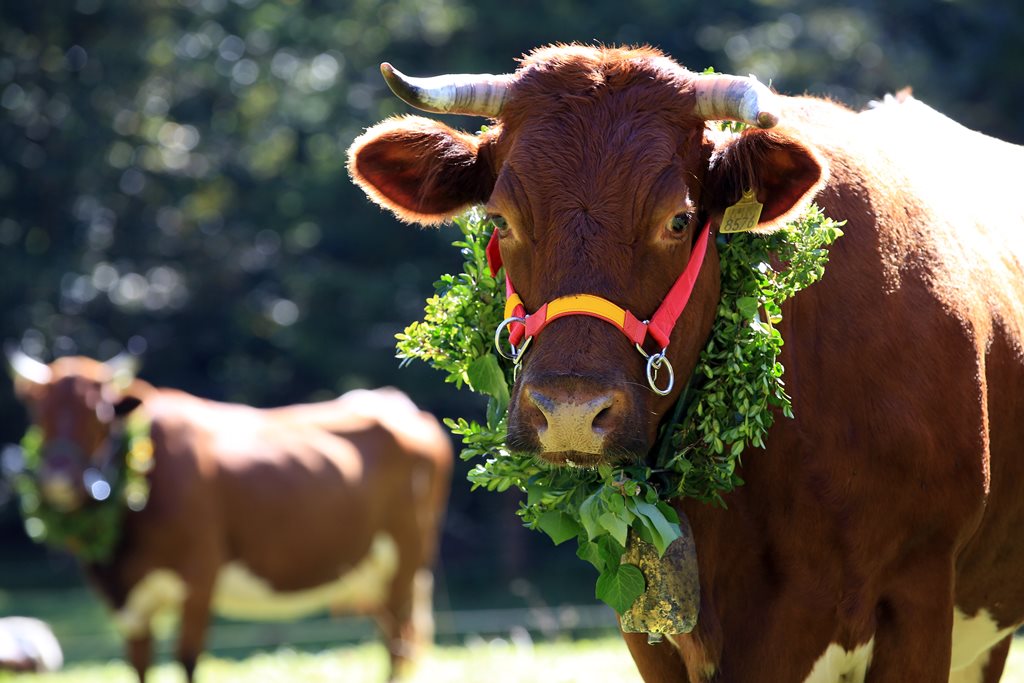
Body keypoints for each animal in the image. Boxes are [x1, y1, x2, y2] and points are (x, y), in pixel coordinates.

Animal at [7, 356, 448, 679]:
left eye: (98, 414)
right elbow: (139, 665)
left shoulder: (199, 573)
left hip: (406, 561)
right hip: (367, 572)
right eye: (37, 410)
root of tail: (395, 401)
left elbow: (187, 658)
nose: (58, 476)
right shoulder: (129, 601)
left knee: (399, 644)